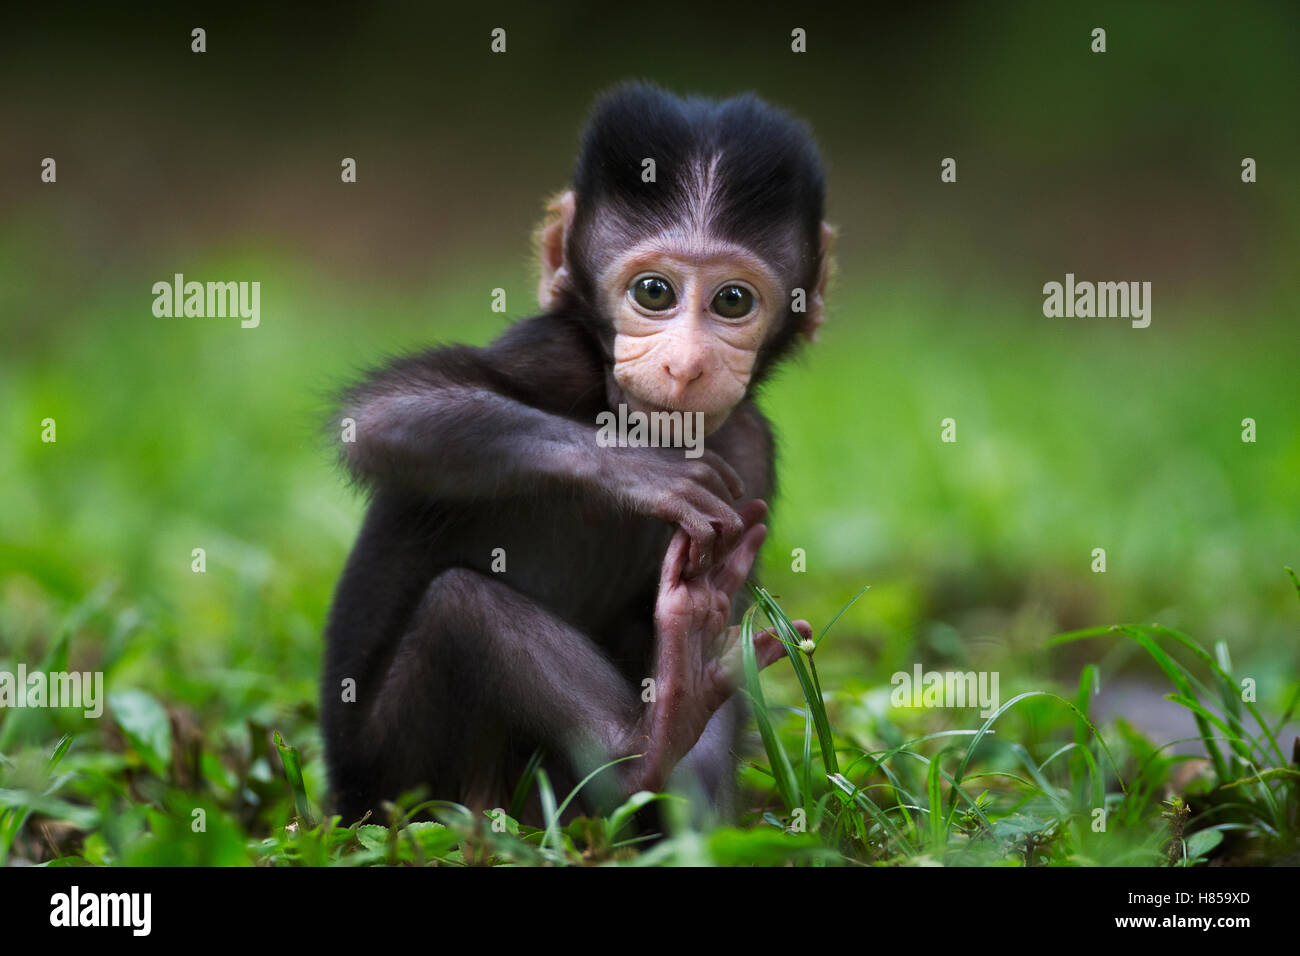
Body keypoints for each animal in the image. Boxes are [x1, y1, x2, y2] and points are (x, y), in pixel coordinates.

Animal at [321, 82, 832, 827]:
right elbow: (382, 415)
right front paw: (636, 471)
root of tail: (342, 795)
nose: (685, 365)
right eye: (654, 292)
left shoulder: (749, 447)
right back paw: (641, 744)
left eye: (733, 301)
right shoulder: (552, 352)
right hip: (393, 776)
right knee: (462, 607)